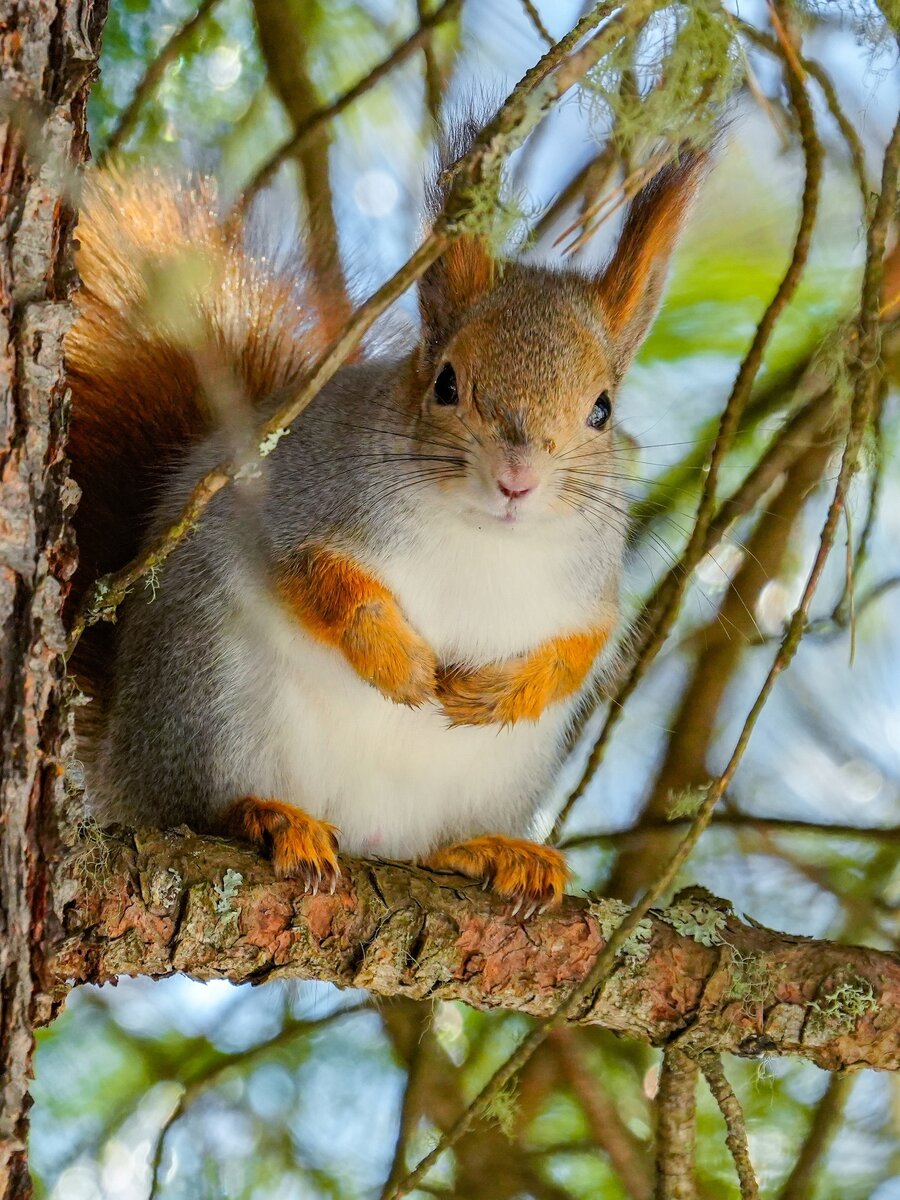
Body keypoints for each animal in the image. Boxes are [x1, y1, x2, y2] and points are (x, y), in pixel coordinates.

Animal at [66, 131, 710, 912]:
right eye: (447, 383)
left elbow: (580, 646)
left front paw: (497, 692)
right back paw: (269, 816)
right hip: (206, 703)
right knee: (193, 805)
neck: (485, 538)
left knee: (432, 847)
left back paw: (493, 851)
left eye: (602, 410)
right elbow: (318, 577)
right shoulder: (290, 497)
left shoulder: (594, 583)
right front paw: (397, 661)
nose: (517, 480)